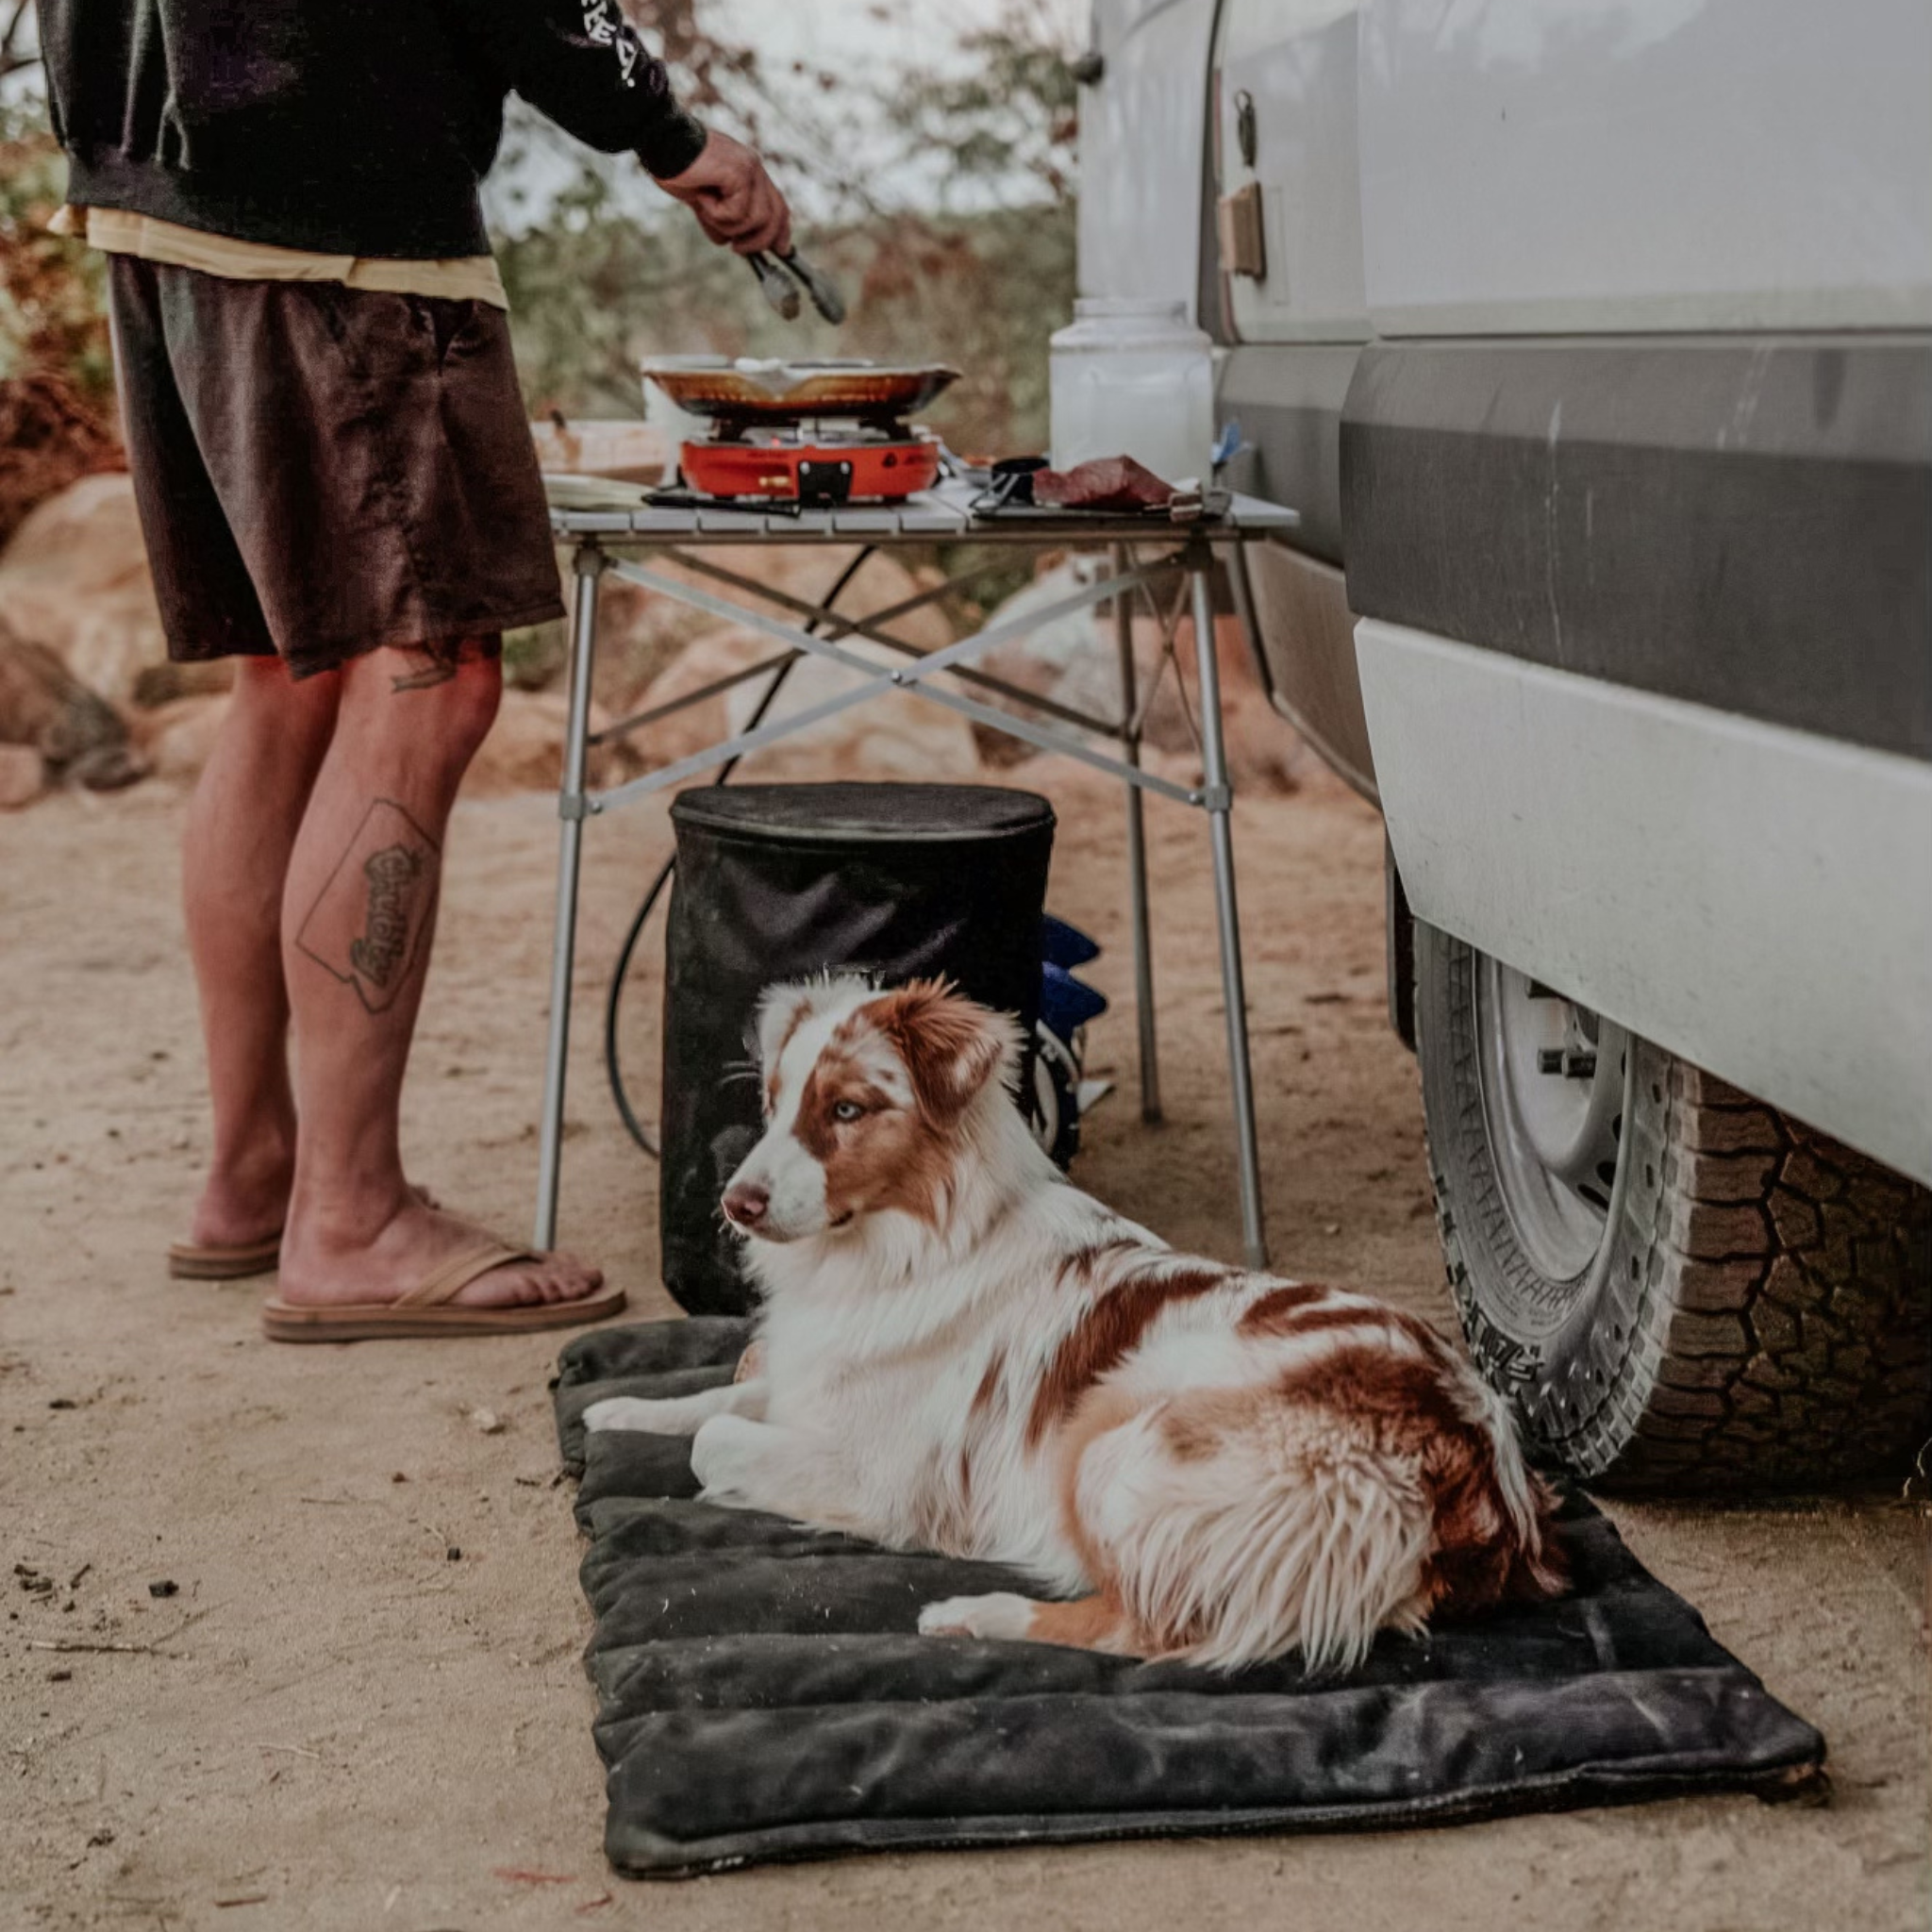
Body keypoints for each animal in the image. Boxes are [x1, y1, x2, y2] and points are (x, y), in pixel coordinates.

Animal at [579, 974, 1560, 1669]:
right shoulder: (812, 1387)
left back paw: (973, 1615)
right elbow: (723, 1398)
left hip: (1111, 1444)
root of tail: (1474, 1467)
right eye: (775, 1104)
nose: (735, 1205)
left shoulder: (881, 1476)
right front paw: (623, 1410)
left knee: (1144, 1626)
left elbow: (716, 1443)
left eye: (848, 1110)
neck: (914, 1244)